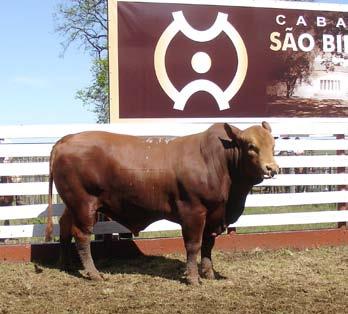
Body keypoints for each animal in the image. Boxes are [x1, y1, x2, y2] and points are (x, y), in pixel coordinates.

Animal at [46, 122, 278, 284]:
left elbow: (207, 245)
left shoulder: (214, 215)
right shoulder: (193, 211)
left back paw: (66, 265)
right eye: (251, 147)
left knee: (64, 225)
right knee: (81, 235)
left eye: (273, 145)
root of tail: (66, 139)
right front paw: (193, 278)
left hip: (72, 204)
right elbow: (193, 245)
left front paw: (209, 273)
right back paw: (94, 274)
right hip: (84, 203)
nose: (272, 168)